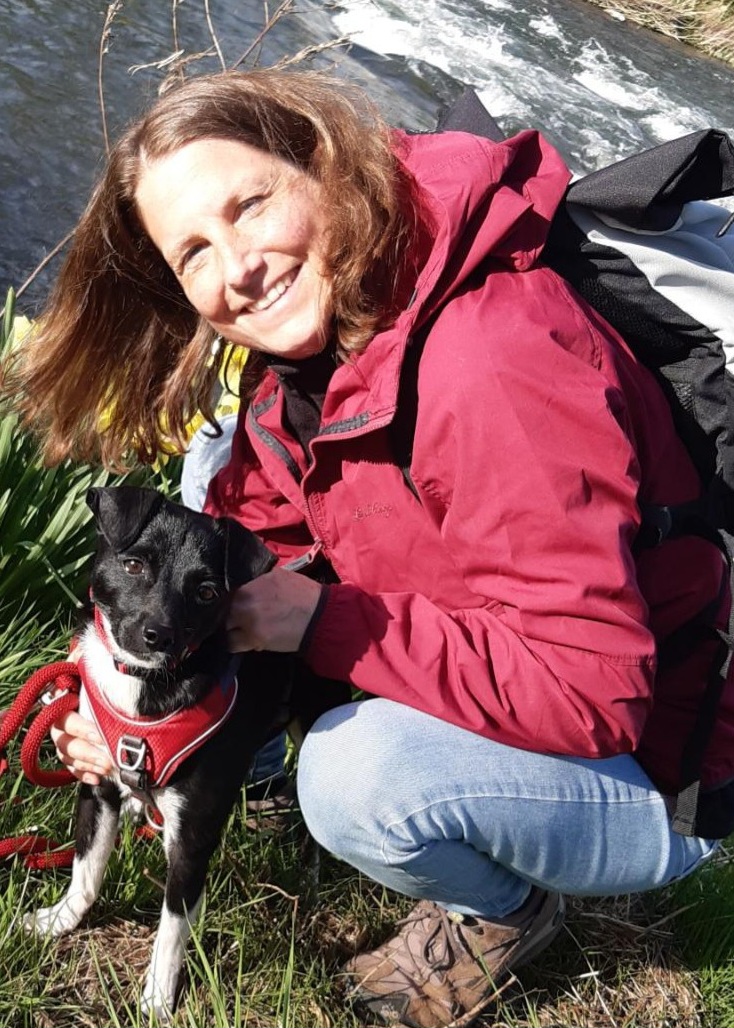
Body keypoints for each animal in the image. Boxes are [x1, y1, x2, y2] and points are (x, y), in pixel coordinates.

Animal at [24, 486, 346, 1020]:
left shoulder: (192, 838)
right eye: (133, 565)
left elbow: (172, 927)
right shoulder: (97, 785)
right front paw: (61, 920)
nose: (158, 634)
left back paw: (312, 879)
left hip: (316, 719)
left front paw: (157, 998)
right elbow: (86, 868)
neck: (143, 684)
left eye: (207, 592)